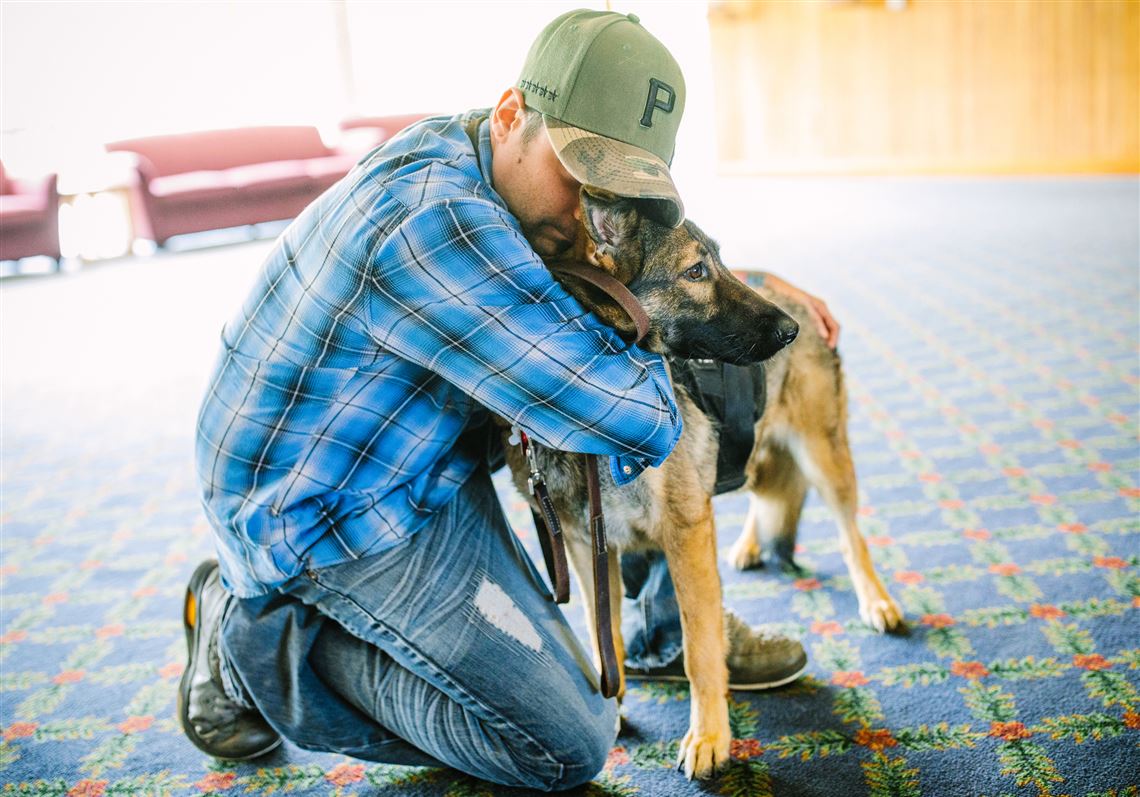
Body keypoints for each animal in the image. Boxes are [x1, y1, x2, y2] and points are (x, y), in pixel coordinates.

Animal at [503, 191, 902, 779]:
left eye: (720, 261)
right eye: (696, 271)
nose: (789, 332)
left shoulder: (685, 532)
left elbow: (699, 648)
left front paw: (709, 737)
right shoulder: (587, 546)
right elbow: (606, 639)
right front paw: (614, 708)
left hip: (824, 457)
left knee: (852, 537)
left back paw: (876, 601)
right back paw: (749, 546)